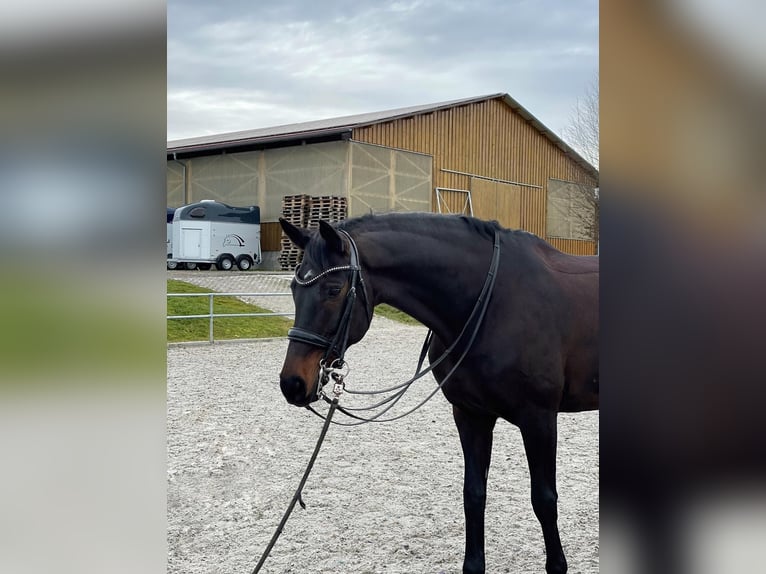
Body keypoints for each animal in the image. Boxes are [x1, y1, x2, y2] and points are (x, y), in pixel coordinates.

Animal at [278, 214, 600, 574]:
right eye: (293, 289)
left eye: (333, 290)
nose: (293, 383)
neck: (493, 302)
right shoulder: (471, 415)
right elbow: (473, 494)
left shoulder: (539, 419)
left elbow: (544, 500)